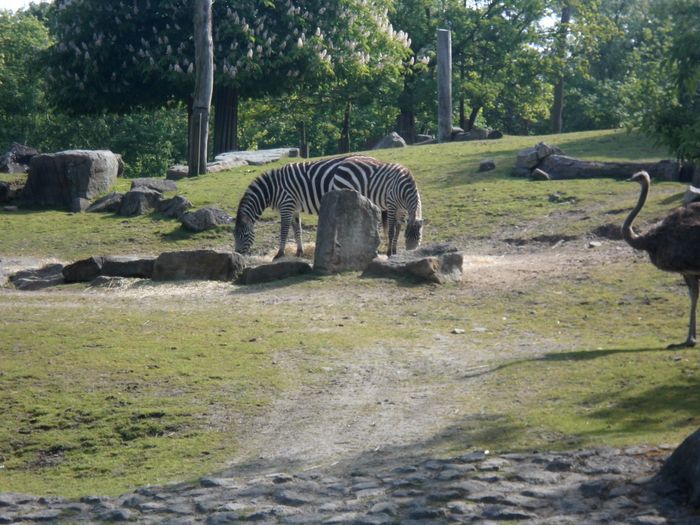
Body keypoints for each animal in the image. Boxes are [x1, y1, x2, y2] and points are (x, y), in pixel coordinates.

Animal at [234, 154, 422, 258]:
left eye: (244, 235)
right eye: (235, 236)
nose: (237, 254)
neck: (272, 189)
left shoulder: (286, 204)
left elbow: (284, 230)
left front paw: (280, 254)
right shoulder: (294, 207)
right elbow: (297, 229)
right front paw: (300, 252)